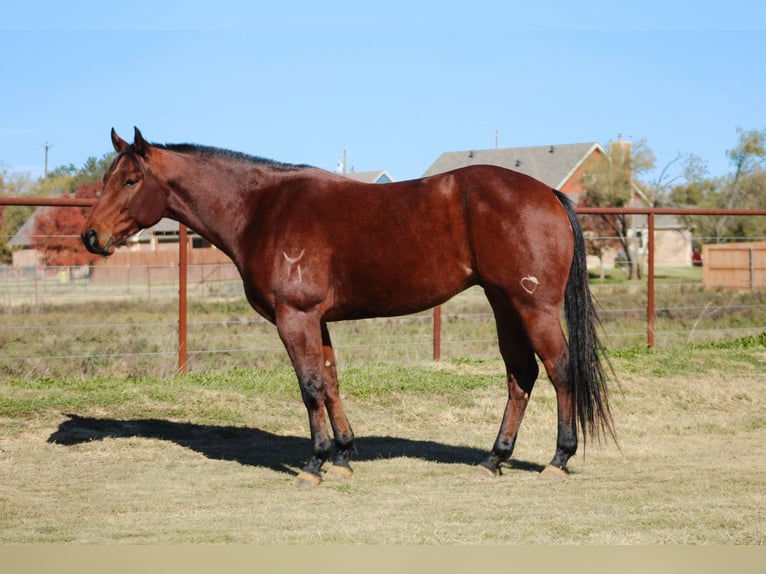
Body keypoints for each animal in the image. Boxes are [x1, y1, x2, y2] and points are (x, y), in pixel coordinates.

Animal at [82, 129, 616, 486]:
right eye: (108, 177)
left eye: (130, 180)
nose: (90, 236)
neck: (261, 209)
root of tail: (549, 194)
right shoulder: (316, 321)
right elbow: (332, 382)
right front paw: (342, 454)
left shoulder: (294, 318)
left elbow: (309, 387)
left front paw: (315, 462)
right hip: (504, 304)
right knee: (521, 374)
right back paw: (494, 458)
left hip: (533, 306)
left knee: (560, 369)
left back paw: (558, 459)